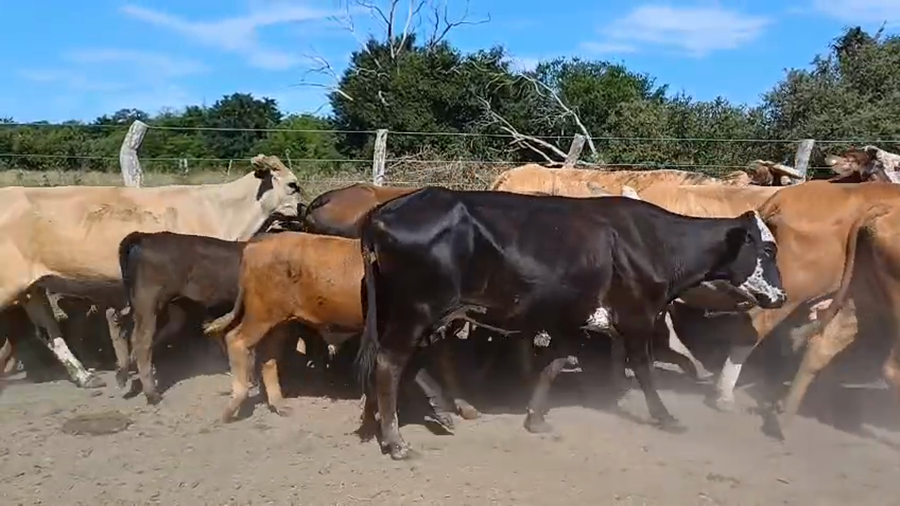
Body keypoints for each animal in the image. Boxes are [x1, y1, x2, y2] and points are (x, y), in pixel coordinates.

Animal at [0, 154, 303, 390]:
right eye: (292, 184)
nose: (303, 208)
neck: (222, 211)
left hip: (32, 289)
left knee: (48, 331)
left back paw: (84, 376)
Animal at [354, 187, 787, 460]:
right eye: (767, 249)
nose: (782, 297)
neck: (654, 242)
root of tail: (385, 211)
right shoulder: (637, 317)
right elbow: (644, 369)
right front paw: (665, 417)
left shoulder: (570, 320)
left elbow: (554, 365)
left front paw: (535, 417)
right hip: (416, 309)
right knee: (390, 363)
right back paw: (396, 440)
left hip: (415, 312)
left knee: (408, 362)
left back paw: (431, 414)